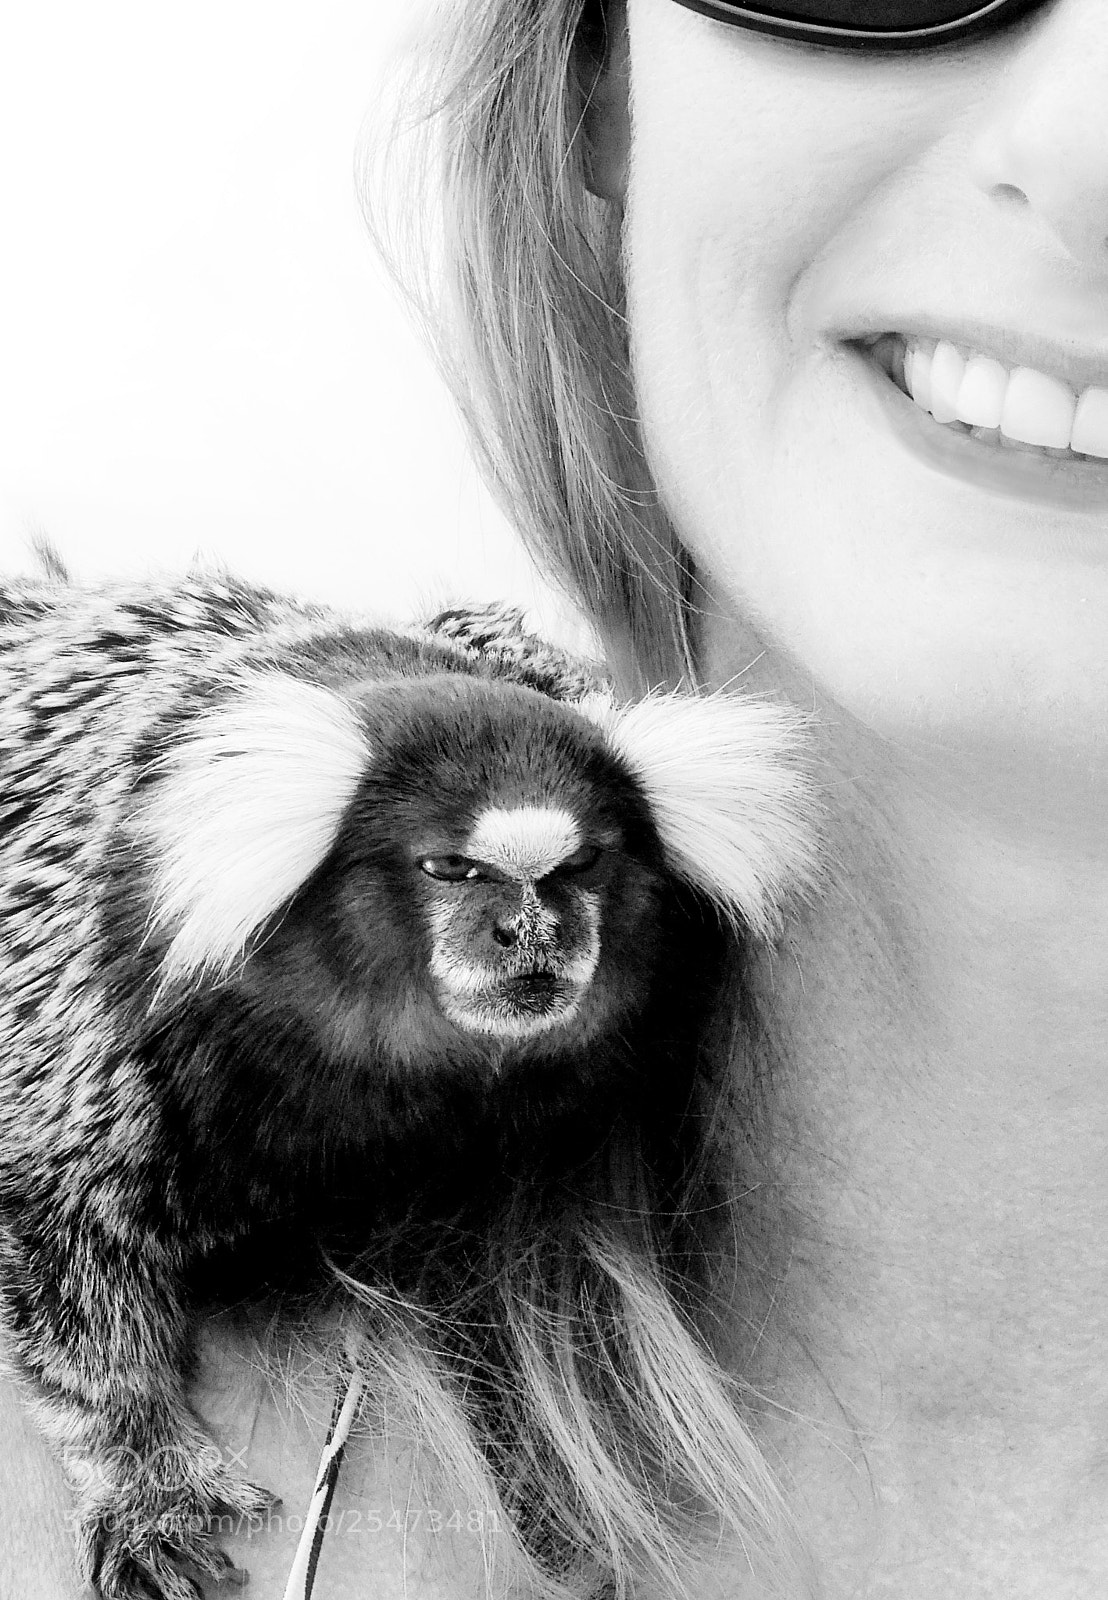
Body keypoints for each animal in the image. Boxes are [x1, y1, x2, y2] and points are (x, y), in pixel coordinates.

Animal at [0, 571, 815, 1600]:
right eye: (449, 869)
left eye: (580, 867)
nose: (533, 935)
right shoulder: (98, 1028)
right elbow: (58, 1240)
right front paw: (142, 1471)